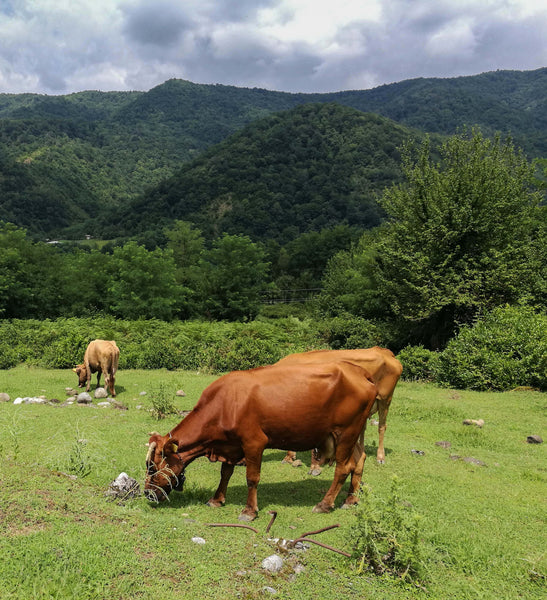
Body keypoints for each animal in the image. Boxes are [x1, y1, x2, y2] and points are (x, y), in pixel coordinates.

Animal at [143, 360, 378, 520]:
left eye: (152, 467)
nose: (145, 493)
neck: (225, 404)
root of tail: (359, 371)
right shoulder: (230, 445)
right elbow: (225, 473)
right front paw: (217, 499)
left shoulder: (254, 442)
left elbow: (252, 478)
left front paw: (249, 511)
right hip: (355, 432)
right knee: (360, 459)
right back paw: (351, 499)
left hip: (345, 432)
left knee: (343, 467)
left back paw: (325, 504)